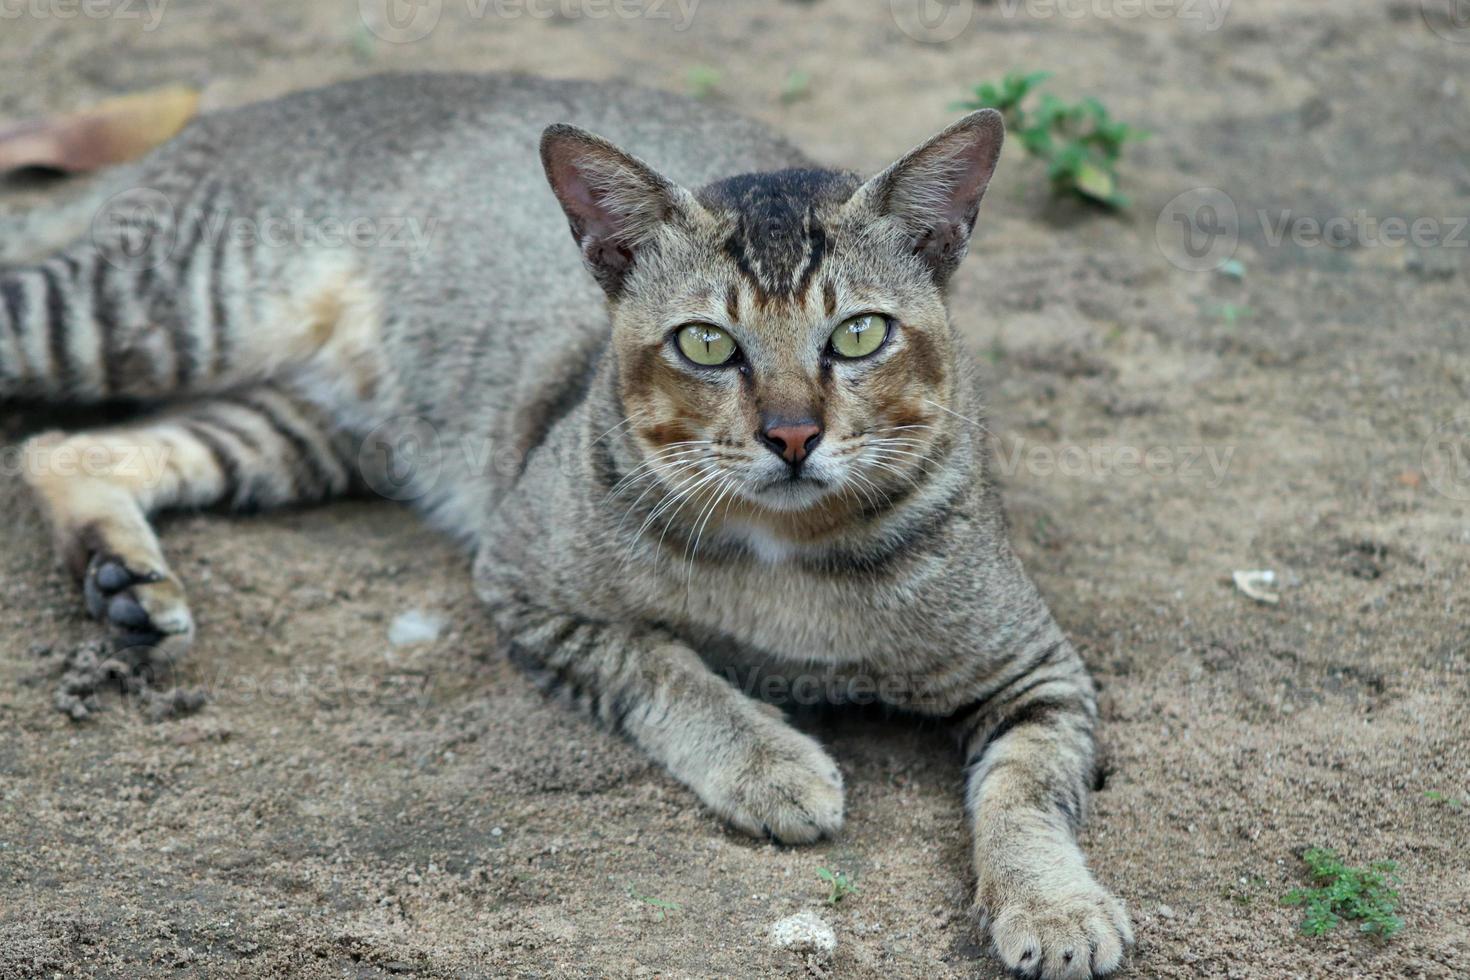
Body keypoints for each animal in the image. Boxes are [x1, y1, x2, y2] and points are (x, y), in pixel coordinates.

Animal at [2, 74, 1134, 975]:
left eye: (858, 334)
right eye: (706, 343)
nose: (792, 434)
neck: (793, 556)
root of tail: (231, 116)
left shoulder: (1037, 668)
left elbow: (1026, 795)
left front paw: (1055, 904)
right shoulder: (522, 576)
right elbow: (664, 664)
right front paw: (770, 762)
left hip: (309, 427)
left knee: (67, 447)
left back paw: (122, 582)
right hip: (151, 309)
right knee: (44, 411)